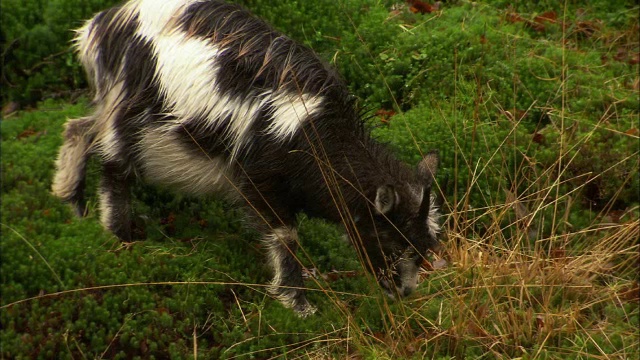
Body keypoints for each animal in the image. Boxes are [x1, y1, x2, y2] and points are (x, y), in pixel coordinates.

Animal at [52, 0, 440, 316]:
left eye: (425, 245)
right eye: (389, 240)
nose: (404, 291)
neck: (316, 131)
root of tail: (97, 28)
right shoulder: (259, 177)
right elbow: (285, 236)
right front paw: (299, 306)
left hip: (110, 105)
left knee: (78, 129)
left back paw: (73, 206)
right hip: (128, 111)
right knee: (114, 165)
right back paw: (119, 237)